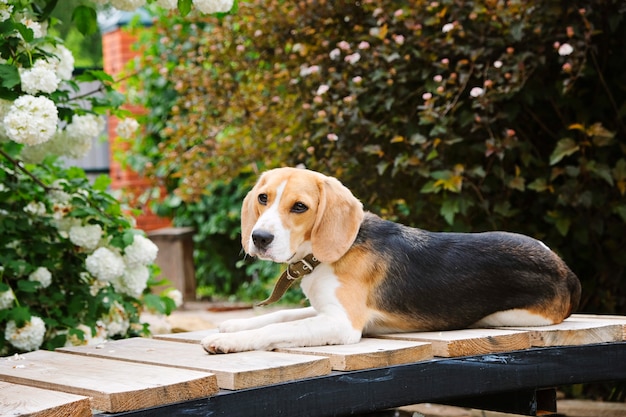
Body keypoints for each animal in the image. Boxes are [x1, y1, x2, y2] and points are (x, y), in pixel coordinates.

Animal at [201, 167, 580, 352]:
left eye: (299, 207)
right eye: (263, 198)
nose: (259, 238)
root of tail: (565, 268)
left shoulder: (342, 323)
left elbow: (281, 327)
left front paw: (228, 341)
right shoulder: (327, 309)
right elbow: (282, 316)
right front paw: (235, 325)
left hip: (508, 316)